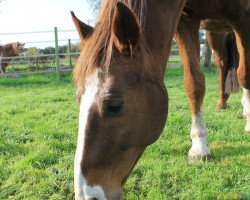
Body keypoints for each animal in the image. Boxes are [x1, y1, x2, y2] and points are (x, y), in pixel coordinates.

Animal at [174, 0, 250, 161]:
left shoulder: (244, 16)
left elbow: (245, 75)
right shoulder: (184, 19)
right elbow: (193, 83)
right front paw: (199, 146)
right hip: (215, 31)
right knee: (222, 63)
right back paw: (223, 103)